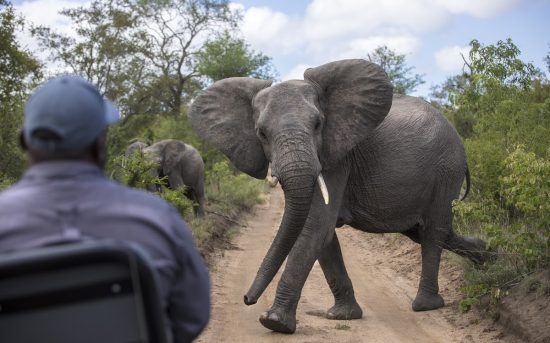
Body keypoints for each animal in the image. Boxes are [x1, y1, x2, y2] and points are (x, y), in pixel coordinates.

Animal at [190, 59, 492, 334]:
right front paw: (343, 316)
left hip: (446, 169)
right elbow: (322, 235)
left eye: (317, 125)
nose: (247, 299)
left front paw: (274, 322)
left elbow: (315, 226)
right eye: (261, 133)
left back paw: (426, 305)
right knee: (429, 231)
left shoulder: (336, 157)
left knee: (433, 231)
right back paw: (488, 259)